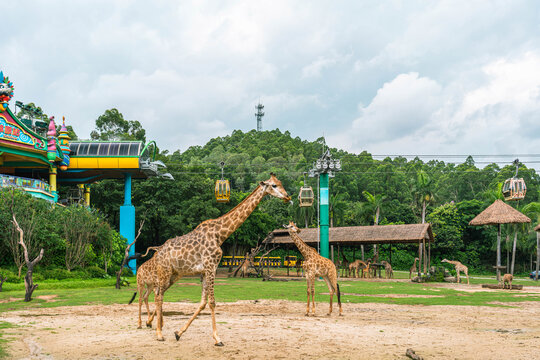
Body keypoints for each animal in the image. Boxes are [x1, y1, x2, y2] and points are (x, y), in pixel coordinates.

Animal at [149, 173, 292, 344]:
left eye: (281, 183)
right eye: (274, 185)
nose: (287, 197)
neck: (220, 235)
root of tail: (157, 254)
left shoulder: (205, 270)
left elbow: (203, 303)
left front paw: (179, 332)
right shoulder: (211, 266)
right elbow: (212, 302)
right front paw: (218, 338)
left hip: (174, 274)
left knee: (159, 294)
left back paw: (156, 326)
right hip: (164, 272)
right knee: (158, 295)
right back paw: (158, 334)